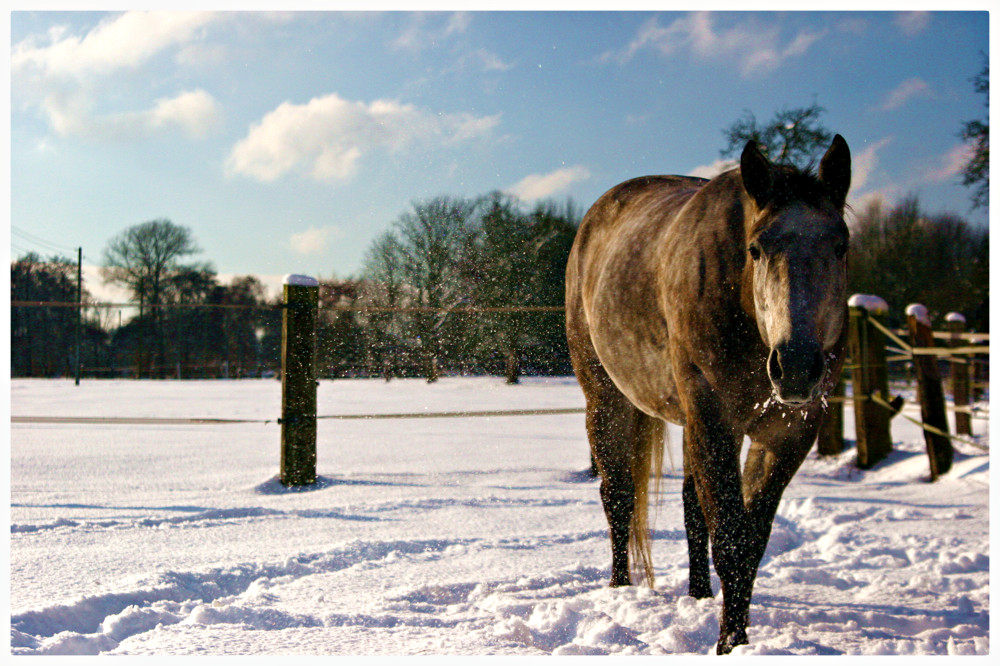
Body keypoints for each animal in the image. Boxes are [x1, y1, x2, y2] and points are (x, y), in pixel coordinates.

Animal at [568, 136, 848, 652]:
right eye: (756, 249)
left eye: (840, 247)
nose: (797, 366)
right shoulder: (715, 421)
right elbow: (731, 542)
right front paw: (729, 644)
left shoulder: (786, 436)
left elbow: (750, 541)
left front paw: (735, 635)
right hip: (607, 400)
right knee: (618, 497)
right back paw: (619, 590)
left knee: (690, 509)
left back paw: (697, 595)